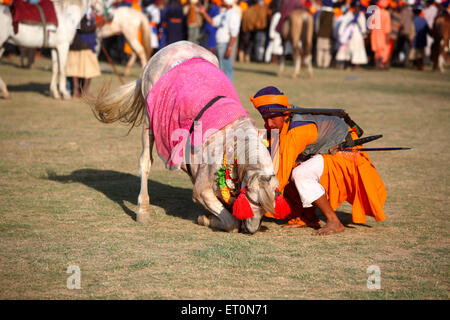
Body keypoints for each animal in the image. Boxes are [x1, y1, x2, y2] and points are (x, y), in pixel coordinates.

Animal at [87, 41, 278, 234]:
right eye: (255, 200)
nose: (252, 229)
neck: (231, 141)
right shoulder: (202, 189)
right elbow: (230, 222)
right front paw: (205, 219)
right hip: (149, 121)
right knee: (145, 162)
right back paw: (143, 211)